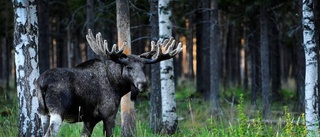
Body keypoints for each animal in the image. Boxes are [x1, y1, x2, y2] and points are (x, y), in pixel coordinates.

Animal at [36, 29, 181, 136]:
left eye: (143, 66)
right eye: (129, 67)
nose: (143, 84)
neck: (117, 87)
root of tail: (41, 83)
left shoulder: (89, 119)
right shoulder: (109, 114)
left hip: (43, 113)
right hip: (57, 112)